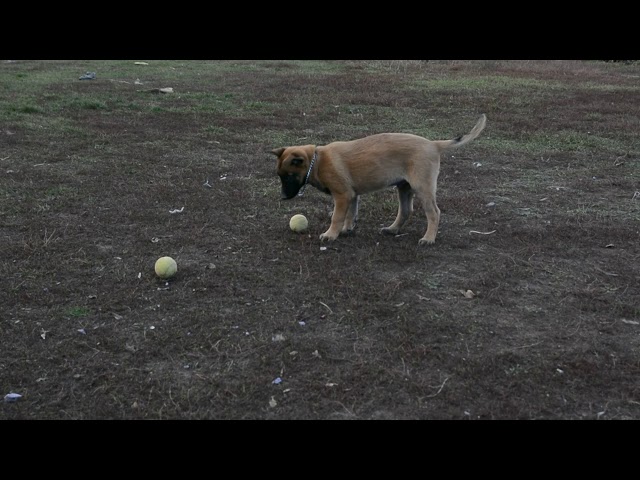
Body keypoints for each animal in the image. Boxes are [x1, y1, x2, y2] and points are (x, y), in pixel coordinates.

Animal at [272, 114, 488, 246]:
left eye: (289, 176)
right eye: (280, 176)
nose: (282, 197)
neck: (317, 161)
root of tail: (433, 144)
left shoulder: (342, 195)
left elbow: (337, 216)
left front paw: (331, 234)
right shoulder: (352, 195)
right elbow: (350, 214)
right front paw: (347, 229)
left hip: (422, 187)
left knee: (434, 212)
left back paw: (428, 238)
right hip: (404, 187)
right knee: (405, 211)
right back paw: (392, 230)